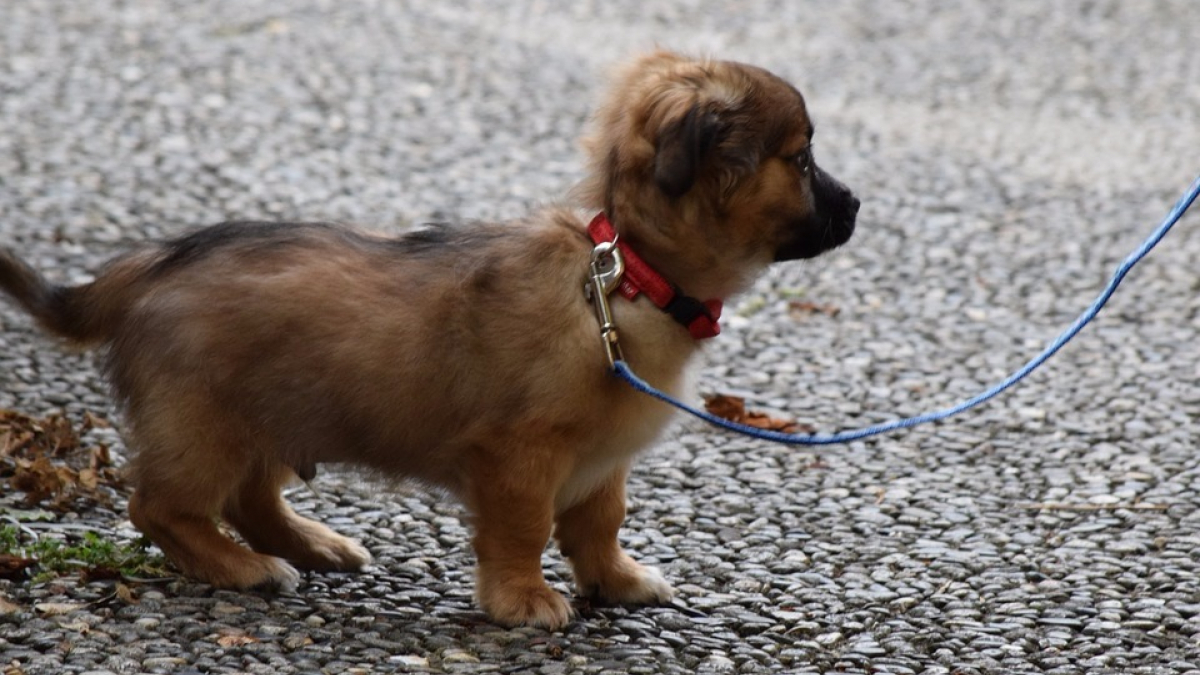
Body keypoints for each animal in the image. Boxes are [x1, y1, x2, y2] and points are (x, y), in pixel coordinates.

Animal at [2, 51, 864, 624]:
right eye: (802, 158)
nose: (857, 204)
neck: (629, 276)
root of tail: (144, 267)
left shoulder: (601, 461)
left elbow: (599, 521)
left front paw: (615, 580)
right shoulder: (520, 457)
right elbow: (525, 526)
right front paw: (522, 597)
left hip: (276, 412)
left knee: (250, 497)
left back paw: (311, 543)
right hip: (205, 425)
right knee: (159, 507)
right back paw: (243, 567)